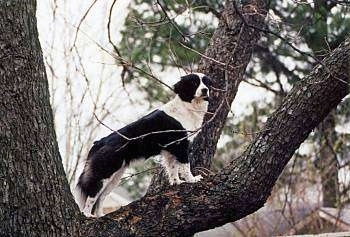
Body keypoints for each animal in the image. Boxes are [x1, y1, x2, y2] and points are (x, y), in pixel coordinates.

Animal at [73, 72, 212, 217]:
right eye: (194, 83)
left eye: (206, 83)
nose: (205, 90)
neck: (186, 107)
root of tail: (100, 142)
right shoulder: (180, 145)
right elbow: (185, 166)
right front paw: (192, 180)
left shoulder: (170, 150)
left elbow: (173, 168)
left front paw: (177, 182)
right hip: (105, 173)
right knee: (92, 194)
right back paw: (88, 215)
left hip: (115, 177)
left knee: (101, 197)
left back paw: (100, 215)